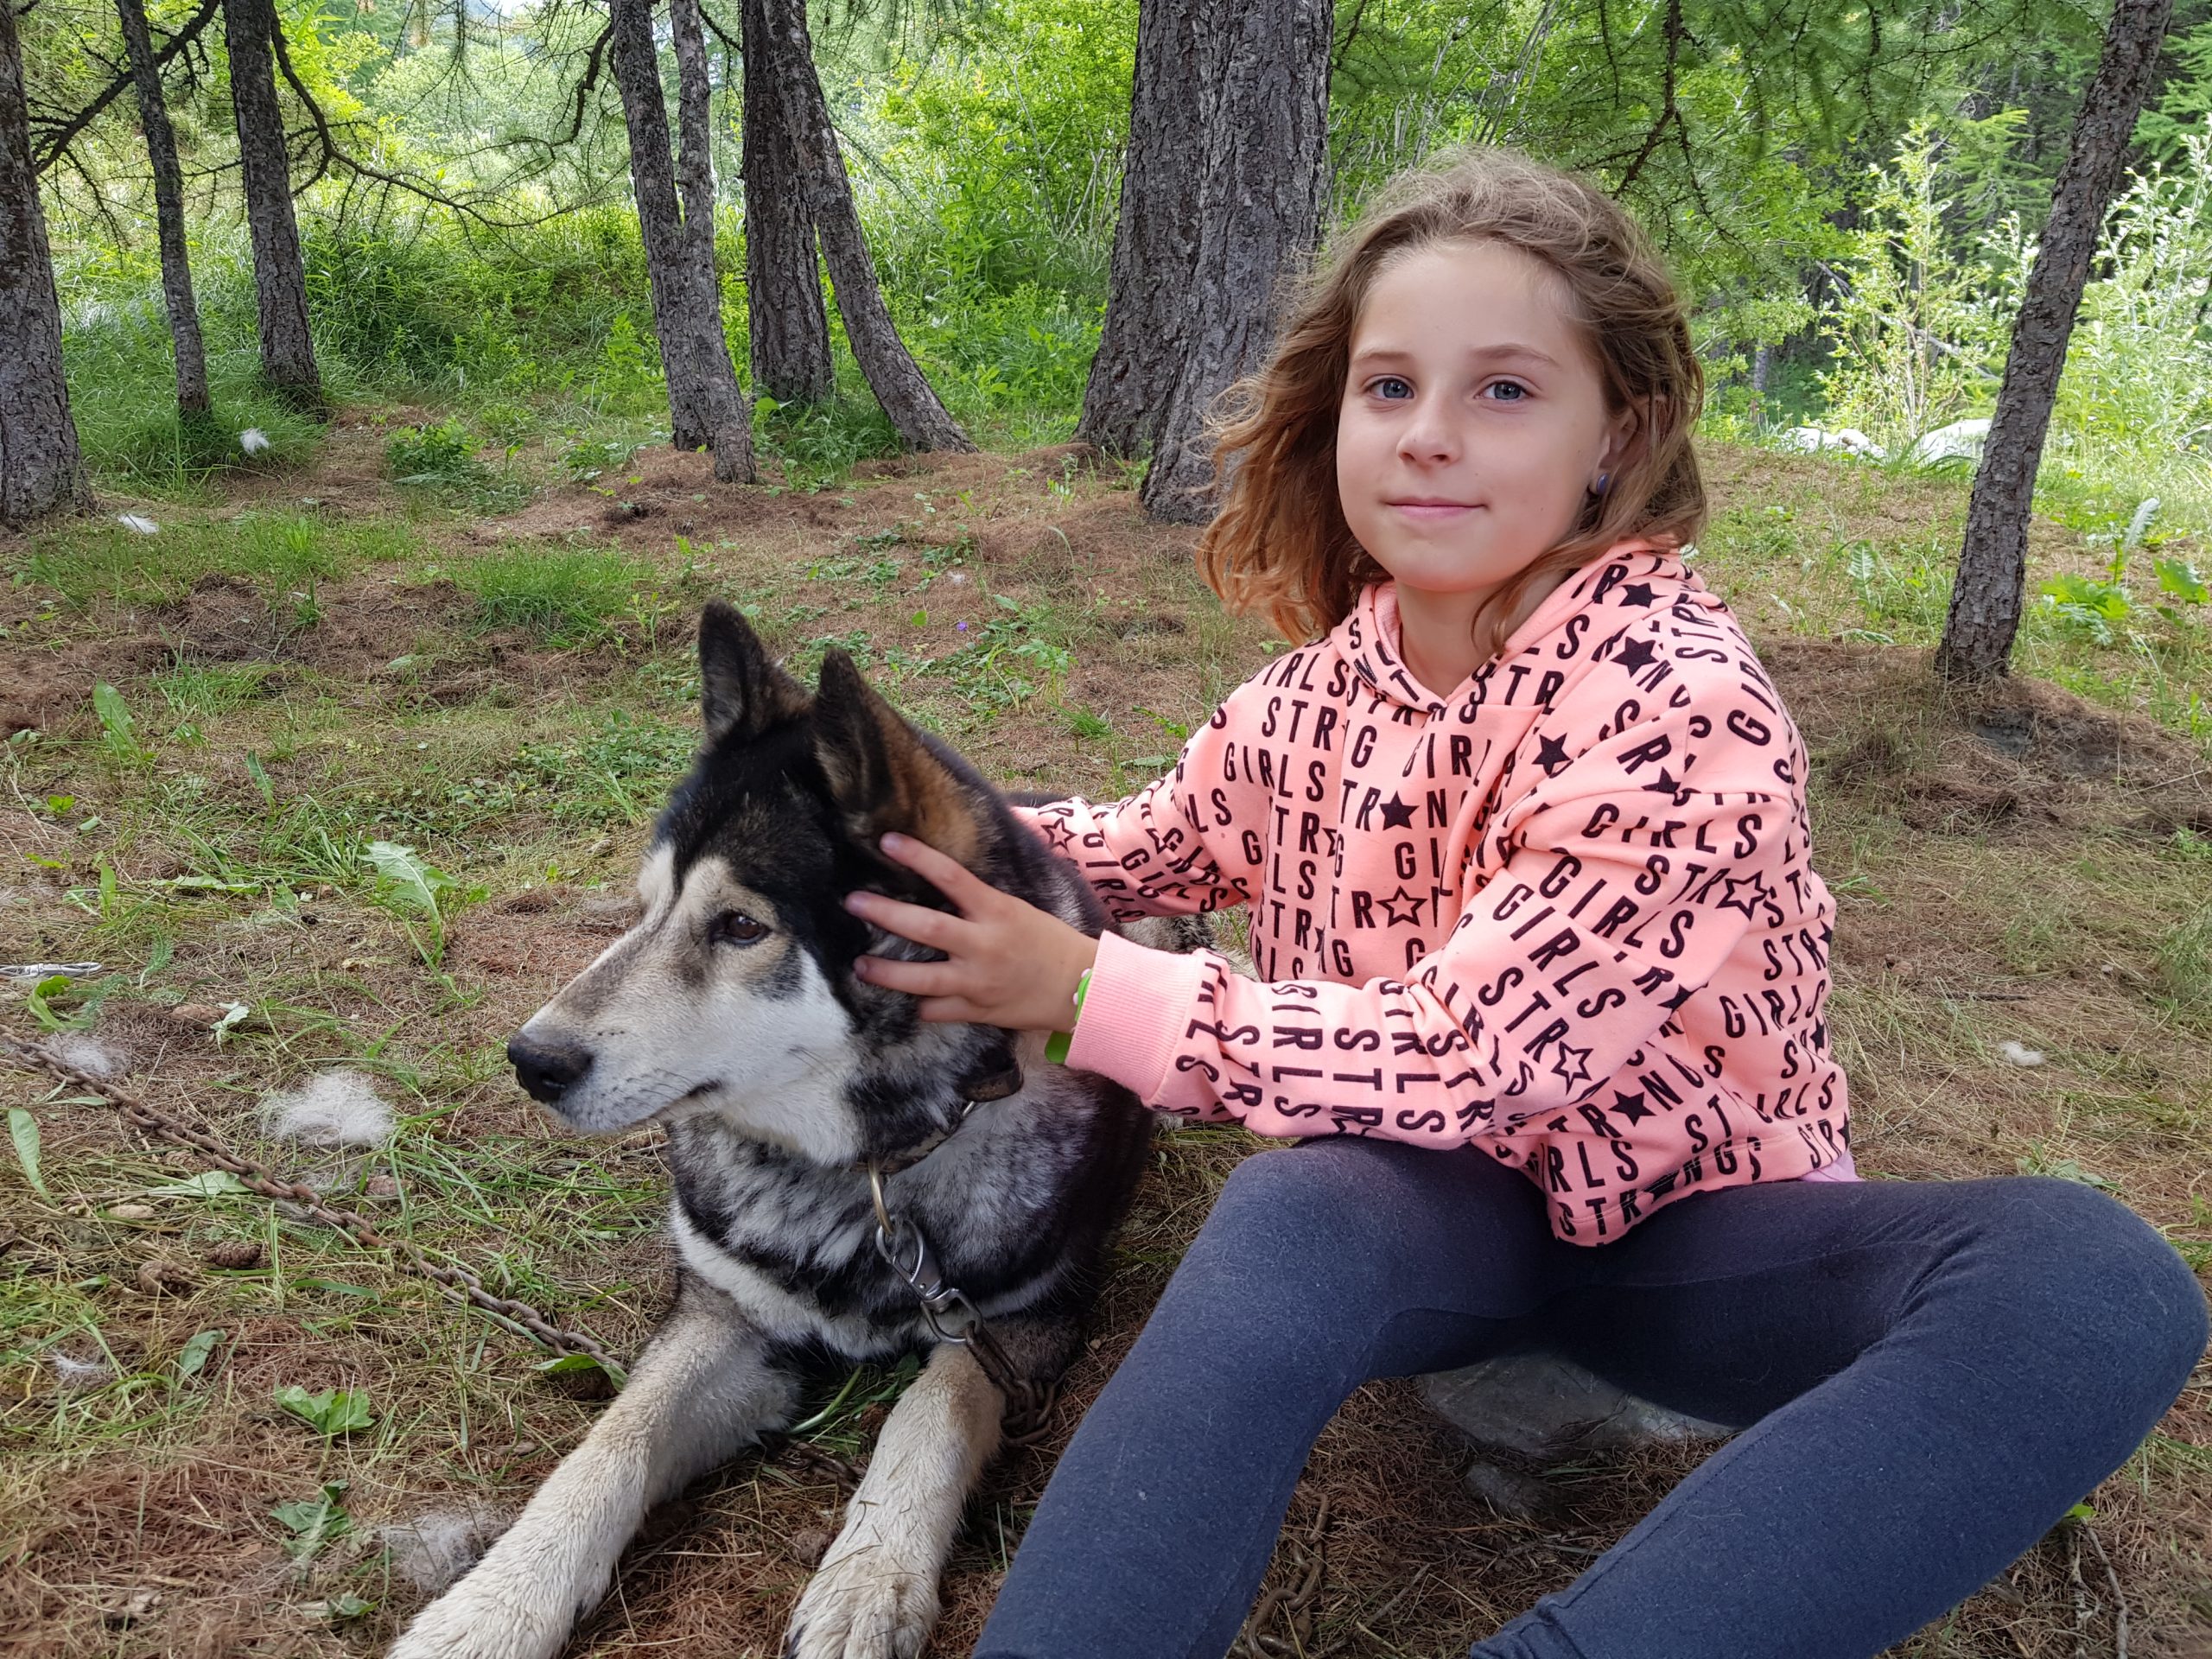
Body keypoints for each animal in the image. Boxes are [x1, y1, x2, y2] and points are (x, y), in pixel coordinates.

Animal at [391, 601, 1166, 1659]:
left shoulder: (1024, 1323)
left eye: (741, 927)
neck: (863, 1174)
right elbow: (614, 1442)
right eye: (645, 911)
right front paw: (489, 1608)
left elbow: (931, 1409)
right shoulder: (727, 1317)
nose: (531, 1060)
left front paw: (871, 1576)